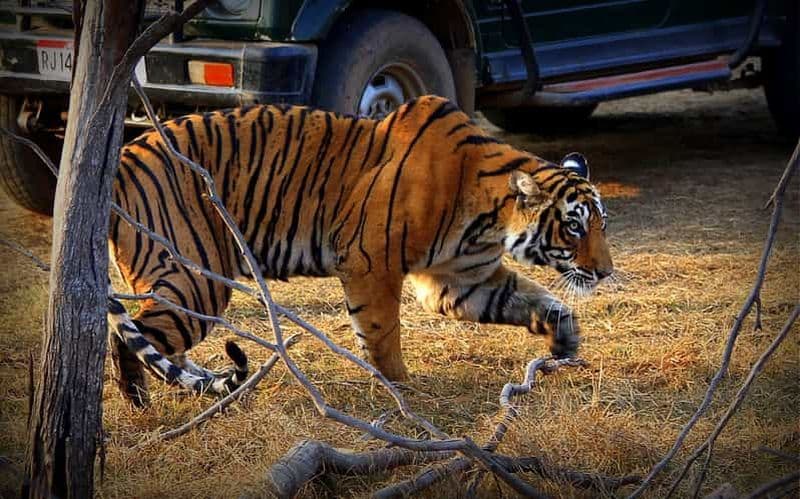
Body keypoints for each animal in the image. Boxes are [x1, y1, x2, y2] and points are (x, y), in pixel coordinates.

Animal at [106, 95, 613, 406]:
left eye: (601, 225)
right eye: (573, 227)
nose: (606, 273)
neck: (489, 220)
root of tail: (123, 156)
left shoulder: (461, 281)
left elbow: (534, 302)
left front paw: (565, 340)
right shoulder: (372, 261)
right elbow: (381, 332)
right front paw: (401, 389)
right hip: (198, 277)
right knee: (130, 336)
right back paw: (140, 404)